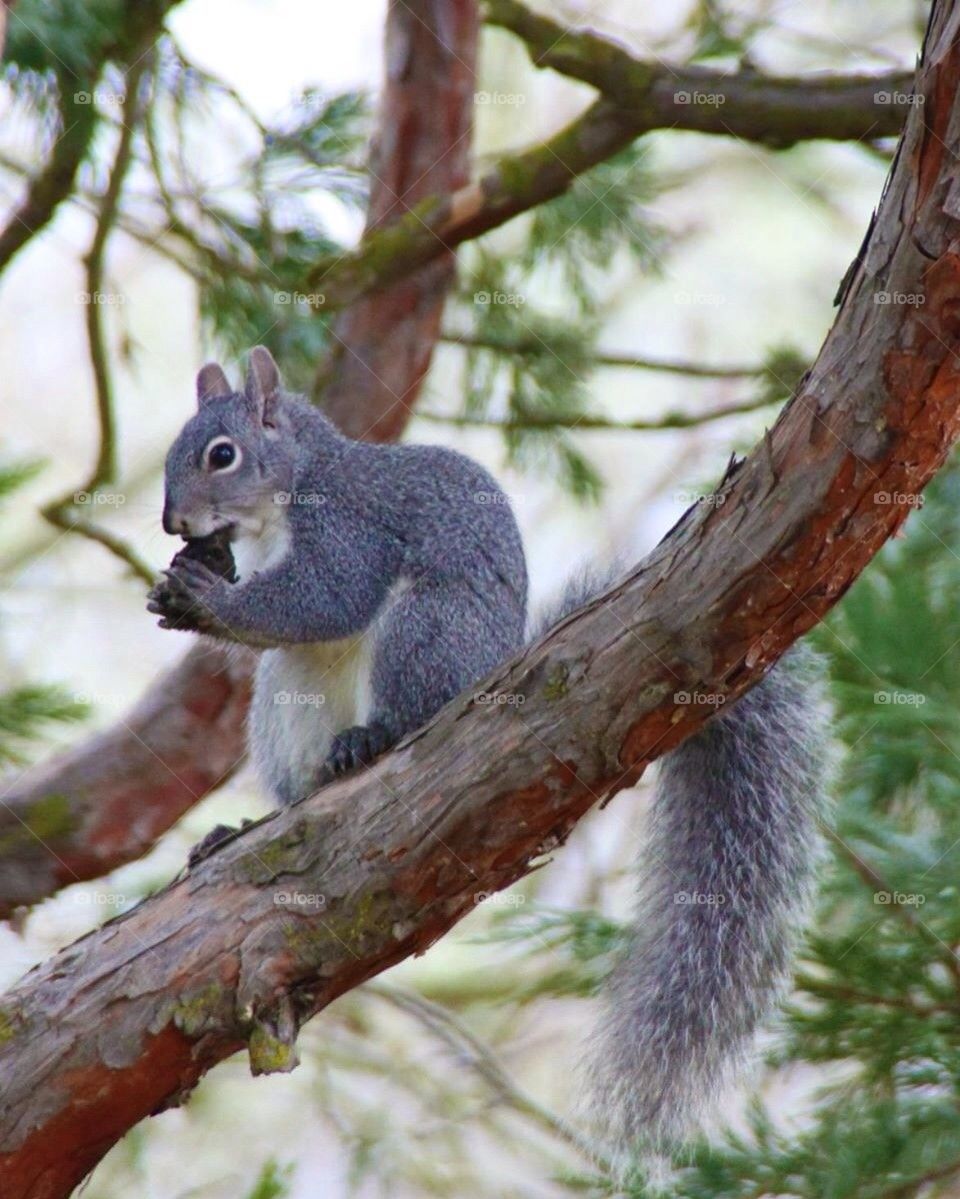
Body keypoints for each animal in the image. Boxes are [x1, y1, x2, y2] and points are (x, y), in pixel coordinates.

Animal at [147, 346, 828, 1152]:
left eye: (221, 455)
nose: (173, 521)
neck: (288, 491)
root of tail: (494, 669)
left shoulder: (348, 531)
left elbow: (321, 599)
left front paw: (205, 600)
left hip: (426, 632)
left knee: (406, 703)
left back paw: (371, 740)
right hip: (287, 699)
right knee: (302, 787)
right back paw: (250, 824)